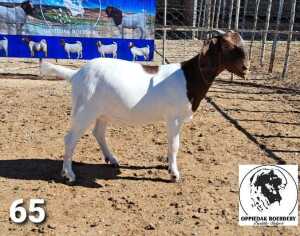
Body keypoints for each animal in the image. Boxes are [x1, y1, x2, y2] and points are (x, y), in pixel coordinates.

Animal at [41, 30, 250, 183]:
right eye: (227, 45)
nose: (246, 68)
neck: (189, 77)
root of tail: (76, 74)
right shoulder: (173, 118)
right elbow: (174, 144)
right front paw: (174, 174)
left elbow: (172, 144)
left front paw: (169, 166)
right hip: (85, 109)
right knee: (70, 138)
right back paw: (69, 174)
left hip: (102, 111)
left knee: (98, 132)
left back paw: (112, 159)